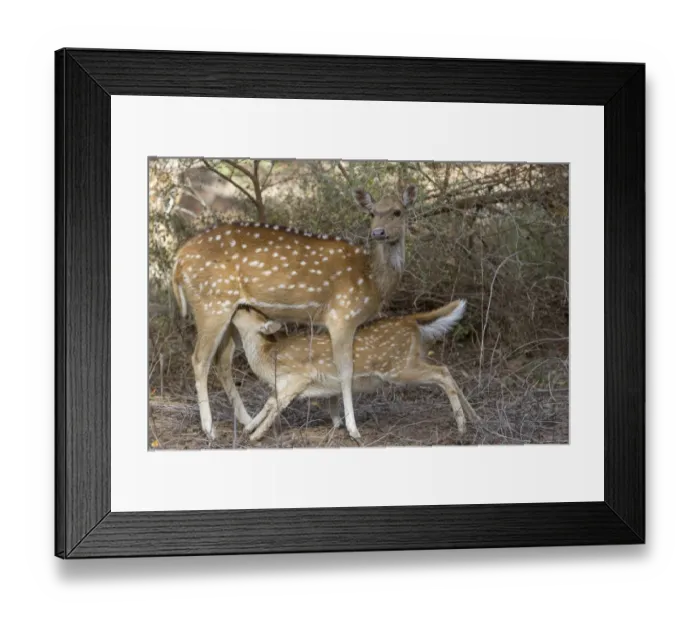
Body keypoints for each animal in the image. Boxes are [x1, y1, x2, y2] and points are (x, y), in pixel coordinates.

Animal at [171, 184, 418, 441]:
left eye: (398, 211)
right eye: (372, 213)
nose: (378, 232)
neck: (372, 281)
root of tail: (178, 261)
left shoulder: (326, 321)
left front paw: (335, 419)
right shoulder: (343, 315)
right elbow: (346, 369)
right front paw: (352, 428)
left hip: (230, 314)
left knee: (222, 361)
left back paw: (246, 421)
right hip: (212, 304)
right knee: (200, 359)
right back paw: (210, 430)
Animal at [230, 300, 477, 443]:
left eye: (247, 309)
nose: (237, 305)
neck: (268, 357)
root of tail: (411, 320)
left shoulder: (298, 378)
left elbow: (275, 404)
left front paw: (256, 435)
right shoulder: (283, 385)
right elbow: (270, 402)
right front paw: (249, 428)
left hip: (398, 368)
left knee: (441, 373)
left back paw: (462, 426)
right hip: (411, 361)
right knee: (445, 368)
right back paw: (474, 417)